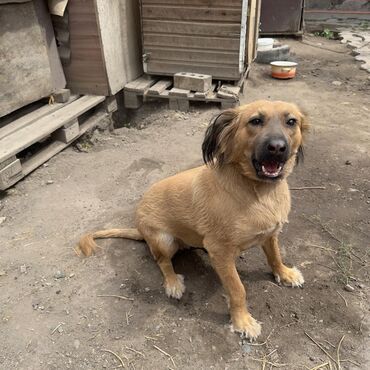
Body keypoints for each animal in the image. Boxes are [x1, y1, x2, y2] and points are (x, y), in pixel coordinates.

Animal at [79, 99, 308, 340]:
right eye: (255, 121)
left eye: (291, 121)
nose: (277, 148)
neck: (259, 191)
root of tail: (139, 228)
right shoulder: (220, 251)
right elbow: (238, 289)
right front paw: (242, 321)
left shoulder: (270, 234)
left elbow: (275, 256)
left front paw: (284, 273)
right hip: (164, 241)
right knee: (162, 261)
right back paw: (172, 283)